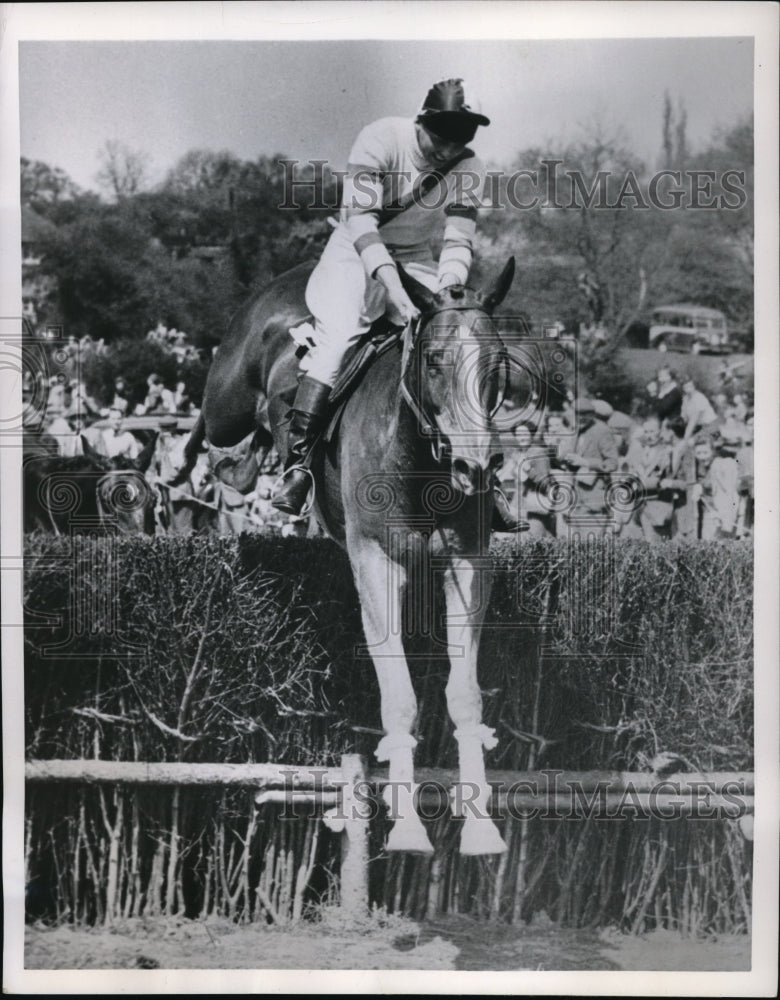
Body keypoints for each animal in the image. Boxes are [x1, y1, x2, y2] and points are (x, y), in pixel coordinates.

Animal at [190, 258, 516, 852]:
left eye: (498, 364)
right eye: (435, 361)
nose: (476, 468)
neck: (419, 459)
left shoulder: (468, 563)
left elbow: (464, 694)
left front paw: (480, 827)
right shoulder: (375, 563)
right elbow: (401, 697)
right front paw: (407, 827)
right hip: (227, 397)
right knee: (215, 427)